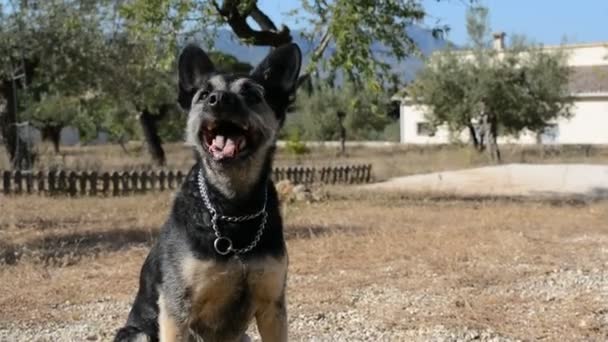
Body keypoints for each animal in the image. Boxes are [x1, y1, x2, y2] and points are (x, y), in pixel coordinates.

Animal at [113, 42, 302, 342]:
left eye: (251, 94)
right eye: (203, 95)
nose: (218, 99)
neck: (232, 207)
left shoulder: (273, 306)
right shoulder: (176, 312)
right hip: (137, 334)